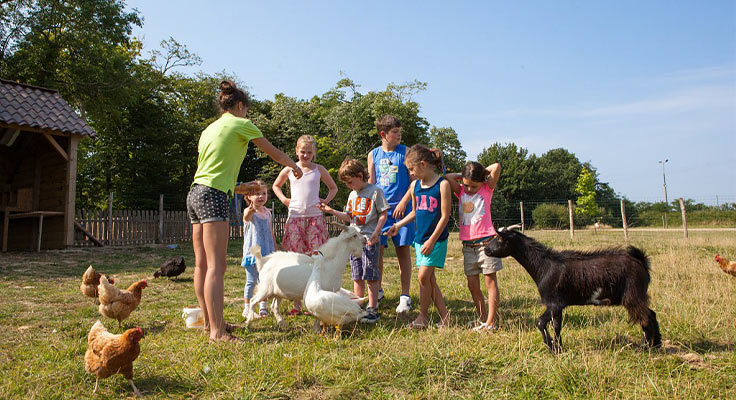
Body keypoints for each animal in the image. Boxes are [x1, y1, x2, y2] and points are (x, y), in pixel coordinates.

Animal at [484, 225, 660, 354]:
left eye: (500, 238)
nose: (486, 249)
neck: (544, 266)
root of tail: (641, 261)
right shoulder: (558, 306)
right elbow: (557, 326)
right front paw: (558, 347)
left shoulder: (554, 303)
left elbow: (541, 322)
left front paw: (551, 346)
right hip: (636, 295)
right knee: (651, 314)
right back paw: (656, 344)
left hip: (633, 294)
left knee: (646, 317)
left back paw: (646, 347)